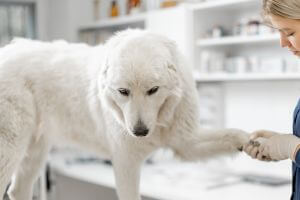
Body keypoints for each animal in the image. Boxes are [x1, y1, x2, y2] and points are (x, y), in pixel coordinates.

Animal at [0, 29, 248, 200]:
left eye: (153, 90)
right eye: (123, 91)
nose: (139, 132)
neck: (159, 121)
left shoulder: (186, 142)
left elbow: (231, 135)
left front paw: (252, 141)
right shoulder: (126, 163)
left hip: (35, 151)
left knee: (17, 190)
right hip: (11, 150)